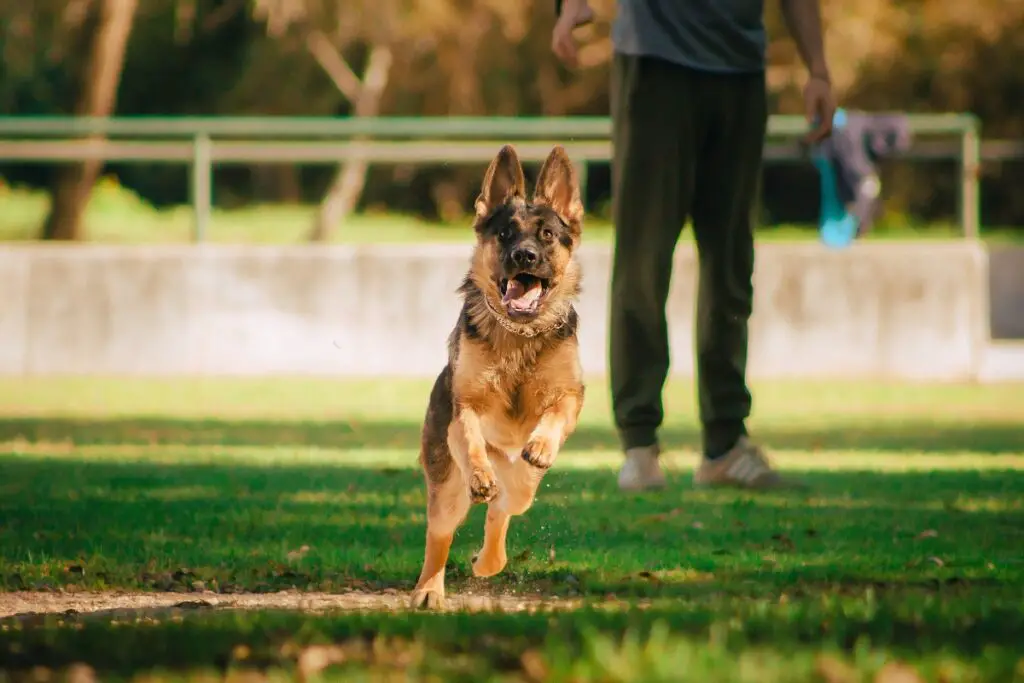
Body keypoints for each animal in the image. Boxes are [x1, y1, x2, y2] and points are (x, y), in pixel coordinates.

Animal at [407, 144, 585, 610]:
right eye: (505, 233)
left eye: (546, 235)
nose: (524, 256)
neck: (518, 334)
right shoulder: (464, 408)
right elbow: (471, 437)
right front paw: (480, 473)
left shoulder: (571, 395)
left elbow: (555, 413)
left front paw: (540, 444)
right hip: (446, 486)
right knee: (441, 533)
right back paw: (429, 589)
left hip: (520, 487)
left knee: (507, 505)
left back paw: (489, 560)